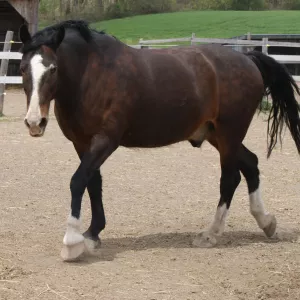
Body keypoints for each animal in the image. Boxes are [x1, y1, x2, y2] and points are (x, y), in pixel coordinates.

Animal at [18, 19, 300, 262]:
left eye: (53, 68)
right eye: (22, 68)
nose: (35, 122)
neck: (92, 73)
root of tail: (247, 58)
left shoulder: (105, 140)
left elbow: (77, 182)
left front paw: (72, 242)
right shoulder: (82, 142)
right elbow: (93, 184)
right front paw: (92, 234)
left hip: (229, 134)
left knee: (230, 179)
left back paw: (210, 234)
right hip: (218, 136)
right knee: (251, 164)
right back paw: (267, 223)